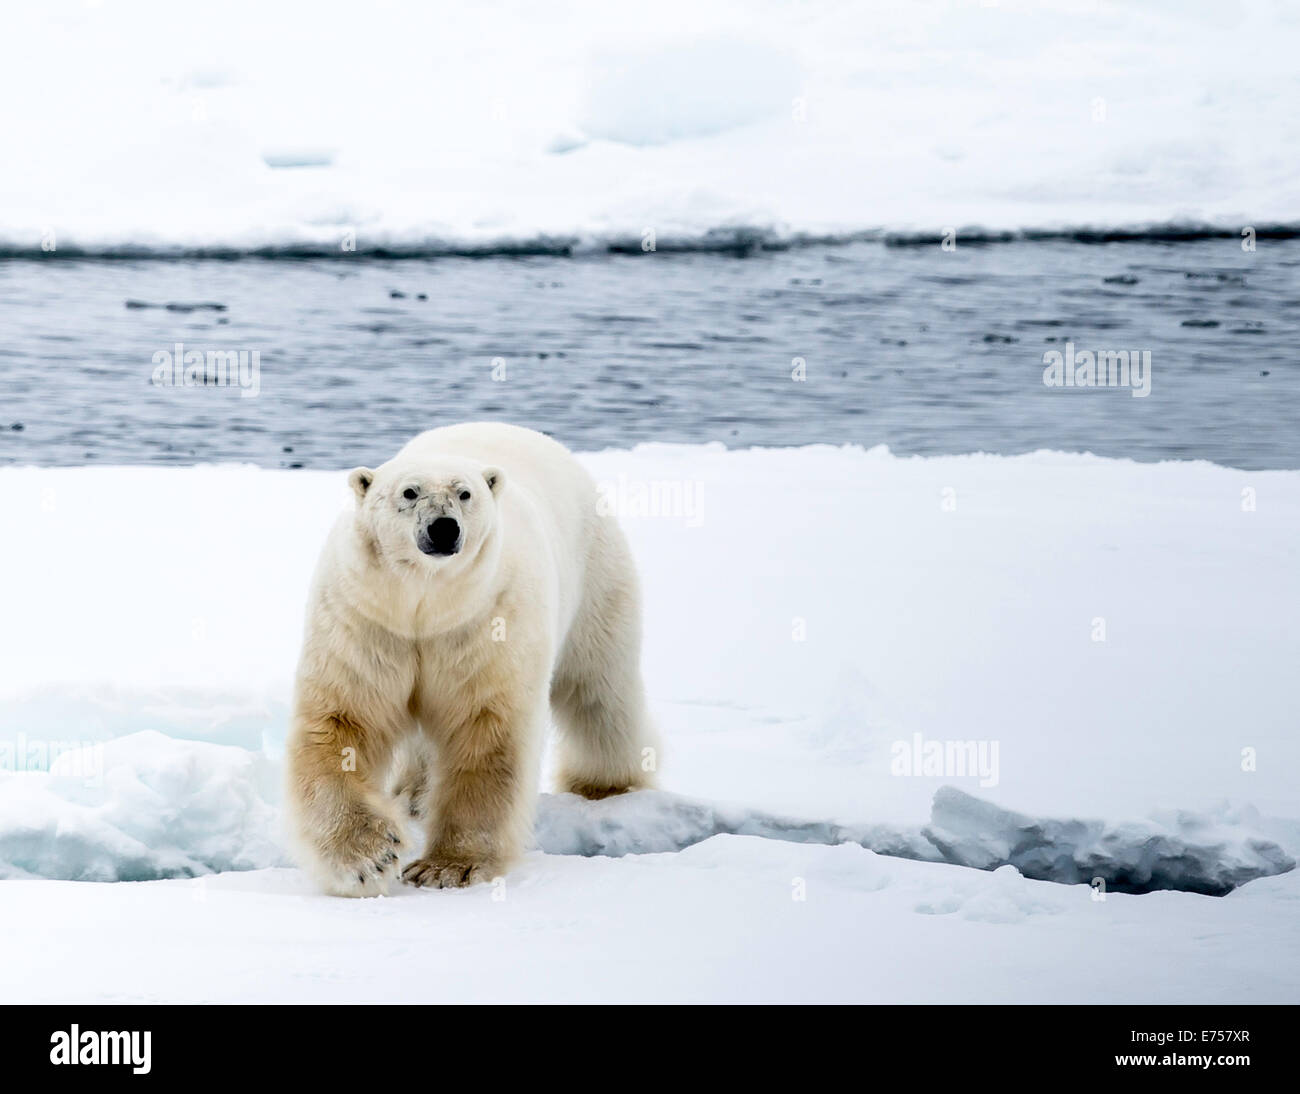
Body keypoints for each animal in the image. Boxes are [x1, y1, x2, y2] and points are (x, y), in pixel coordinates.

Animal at [280, 420, 655, 888]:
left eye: (465, 493)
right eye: (410, 492)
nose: (443, 528)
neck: (425, 604)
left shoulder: (485, 621)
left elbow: (485, 728)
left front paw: (448, 867)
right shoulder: (367, 620)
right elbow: (344, 719)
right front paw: (369, 857)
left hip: (597, 579)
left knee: (600, 691)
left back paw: (606, 784)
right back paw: (413, 795)